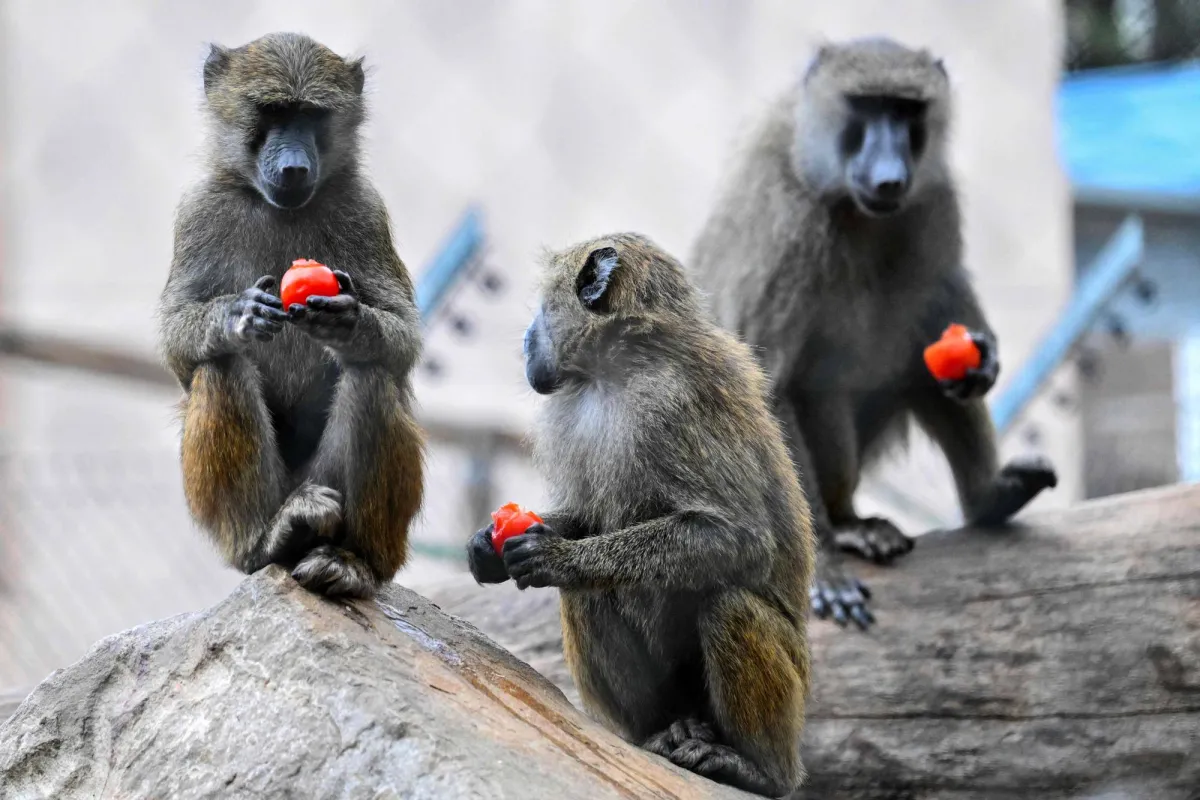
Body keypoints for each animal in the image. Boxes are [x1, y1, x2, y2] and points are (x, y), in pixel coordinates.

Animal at [157, 32, 424, 599]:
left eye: (311, 115)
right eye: (273, 112)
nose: (296, 168)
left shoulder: (365, 210)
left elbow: (402, 339)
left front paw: (350, 323)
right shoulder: (198, 211)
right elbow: (179, 343)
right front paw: (235, 314)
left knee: (371, 375)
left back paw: (352, 561)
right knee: (222, 365)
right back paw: (271, 538)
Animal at [465, 234, 815, 798]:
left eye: (542, 308)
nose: (524, 340)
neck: (620, 369)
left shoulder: (676, 404)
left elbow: (739, 536)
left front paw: (560, 557)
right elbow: (587, 518)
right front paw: (488, 547)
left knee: (729, 605)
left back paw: (759, 769)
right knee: (589, 596)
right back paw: (662, 732)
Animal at [688, 37, 1057, 630]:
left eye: (906, 111)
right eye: (865, 108)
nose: (889, 178)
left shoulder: (933, 197)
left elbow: (941, 286)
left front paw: (985, 355)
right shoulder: (788, 223)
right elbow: (765, 387)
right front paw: (823, 571)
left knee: (922, 364)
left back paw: (987, 498)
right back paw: (843, 530)